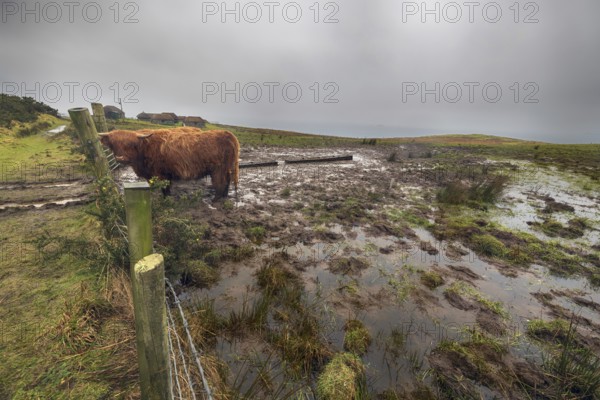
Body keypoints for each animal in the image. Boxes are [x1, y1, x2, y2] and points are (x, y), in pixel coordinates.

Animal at [98, 127, 239, 199]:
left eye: (131, 144)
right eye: (113, 144)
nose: (120, 158)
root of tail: (228, 134)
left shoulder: (160, 174)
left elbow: (164, 188)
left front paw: (166, 199)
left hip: (218, 169)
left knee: (220, 183)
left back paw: (216, 200)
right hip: (225, 168)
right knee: (227, 180)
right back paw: (224, 197)